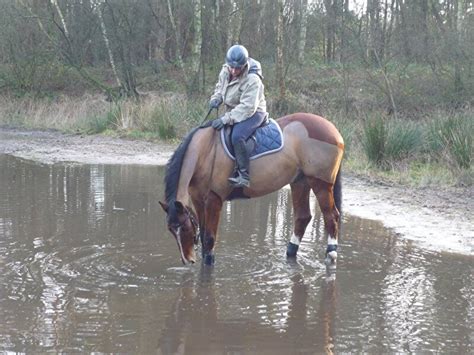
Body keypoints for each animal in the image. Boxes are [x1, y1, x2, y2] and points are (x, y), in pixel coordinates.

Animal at [159, 114, 344, 268]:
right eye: (170, 230)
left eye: (184, 228)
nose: (188, 260)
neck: (205, 151)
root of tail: (333, 130)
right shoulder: (198, 199)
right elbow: (204, 236)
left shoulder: (214, 199)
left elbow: (209, 238)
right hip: (300, 182)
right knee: (303, 217)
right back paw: (290, 254)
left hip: (320, 183)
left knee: (331, 215)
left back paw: (331, 254)